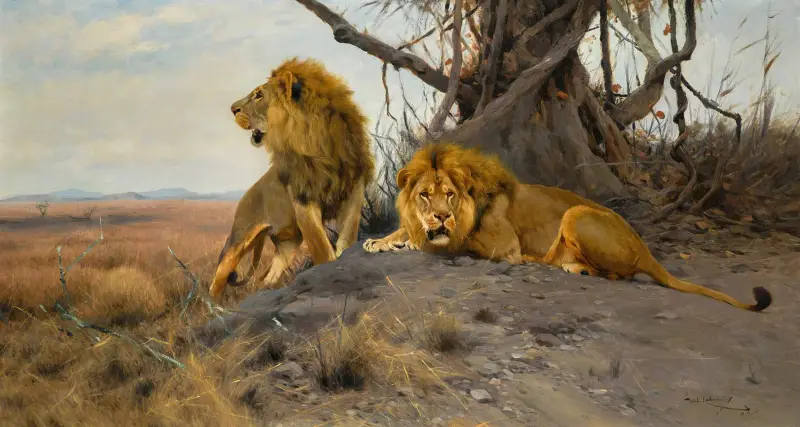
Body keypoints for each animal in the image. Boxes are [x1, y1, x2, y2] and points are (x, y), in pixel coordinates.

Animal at [209, 57, 375, 298]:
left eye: (259, 95)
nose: (232, 109)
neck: (317, 139)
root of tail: (247, 194)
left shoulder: (354, 190)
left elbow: (347, 238)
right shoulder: (303, 198)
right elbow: (322, 249)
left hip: (288, 244)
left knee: (268, 277)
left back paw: (266, 291)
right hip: (238, 239)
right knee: (217, 279)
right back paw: (215, 304)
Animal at [364, 143, 772, 312]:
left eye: (448, 195)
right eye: (425, 195)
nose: (440, 216)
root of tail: (644, 247)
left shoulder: (503, 245)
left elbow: (456, 242)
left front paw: (419, 241)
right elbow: (405, 231)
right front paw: (382, 241)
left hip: (575, 214)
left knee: (617, 275)